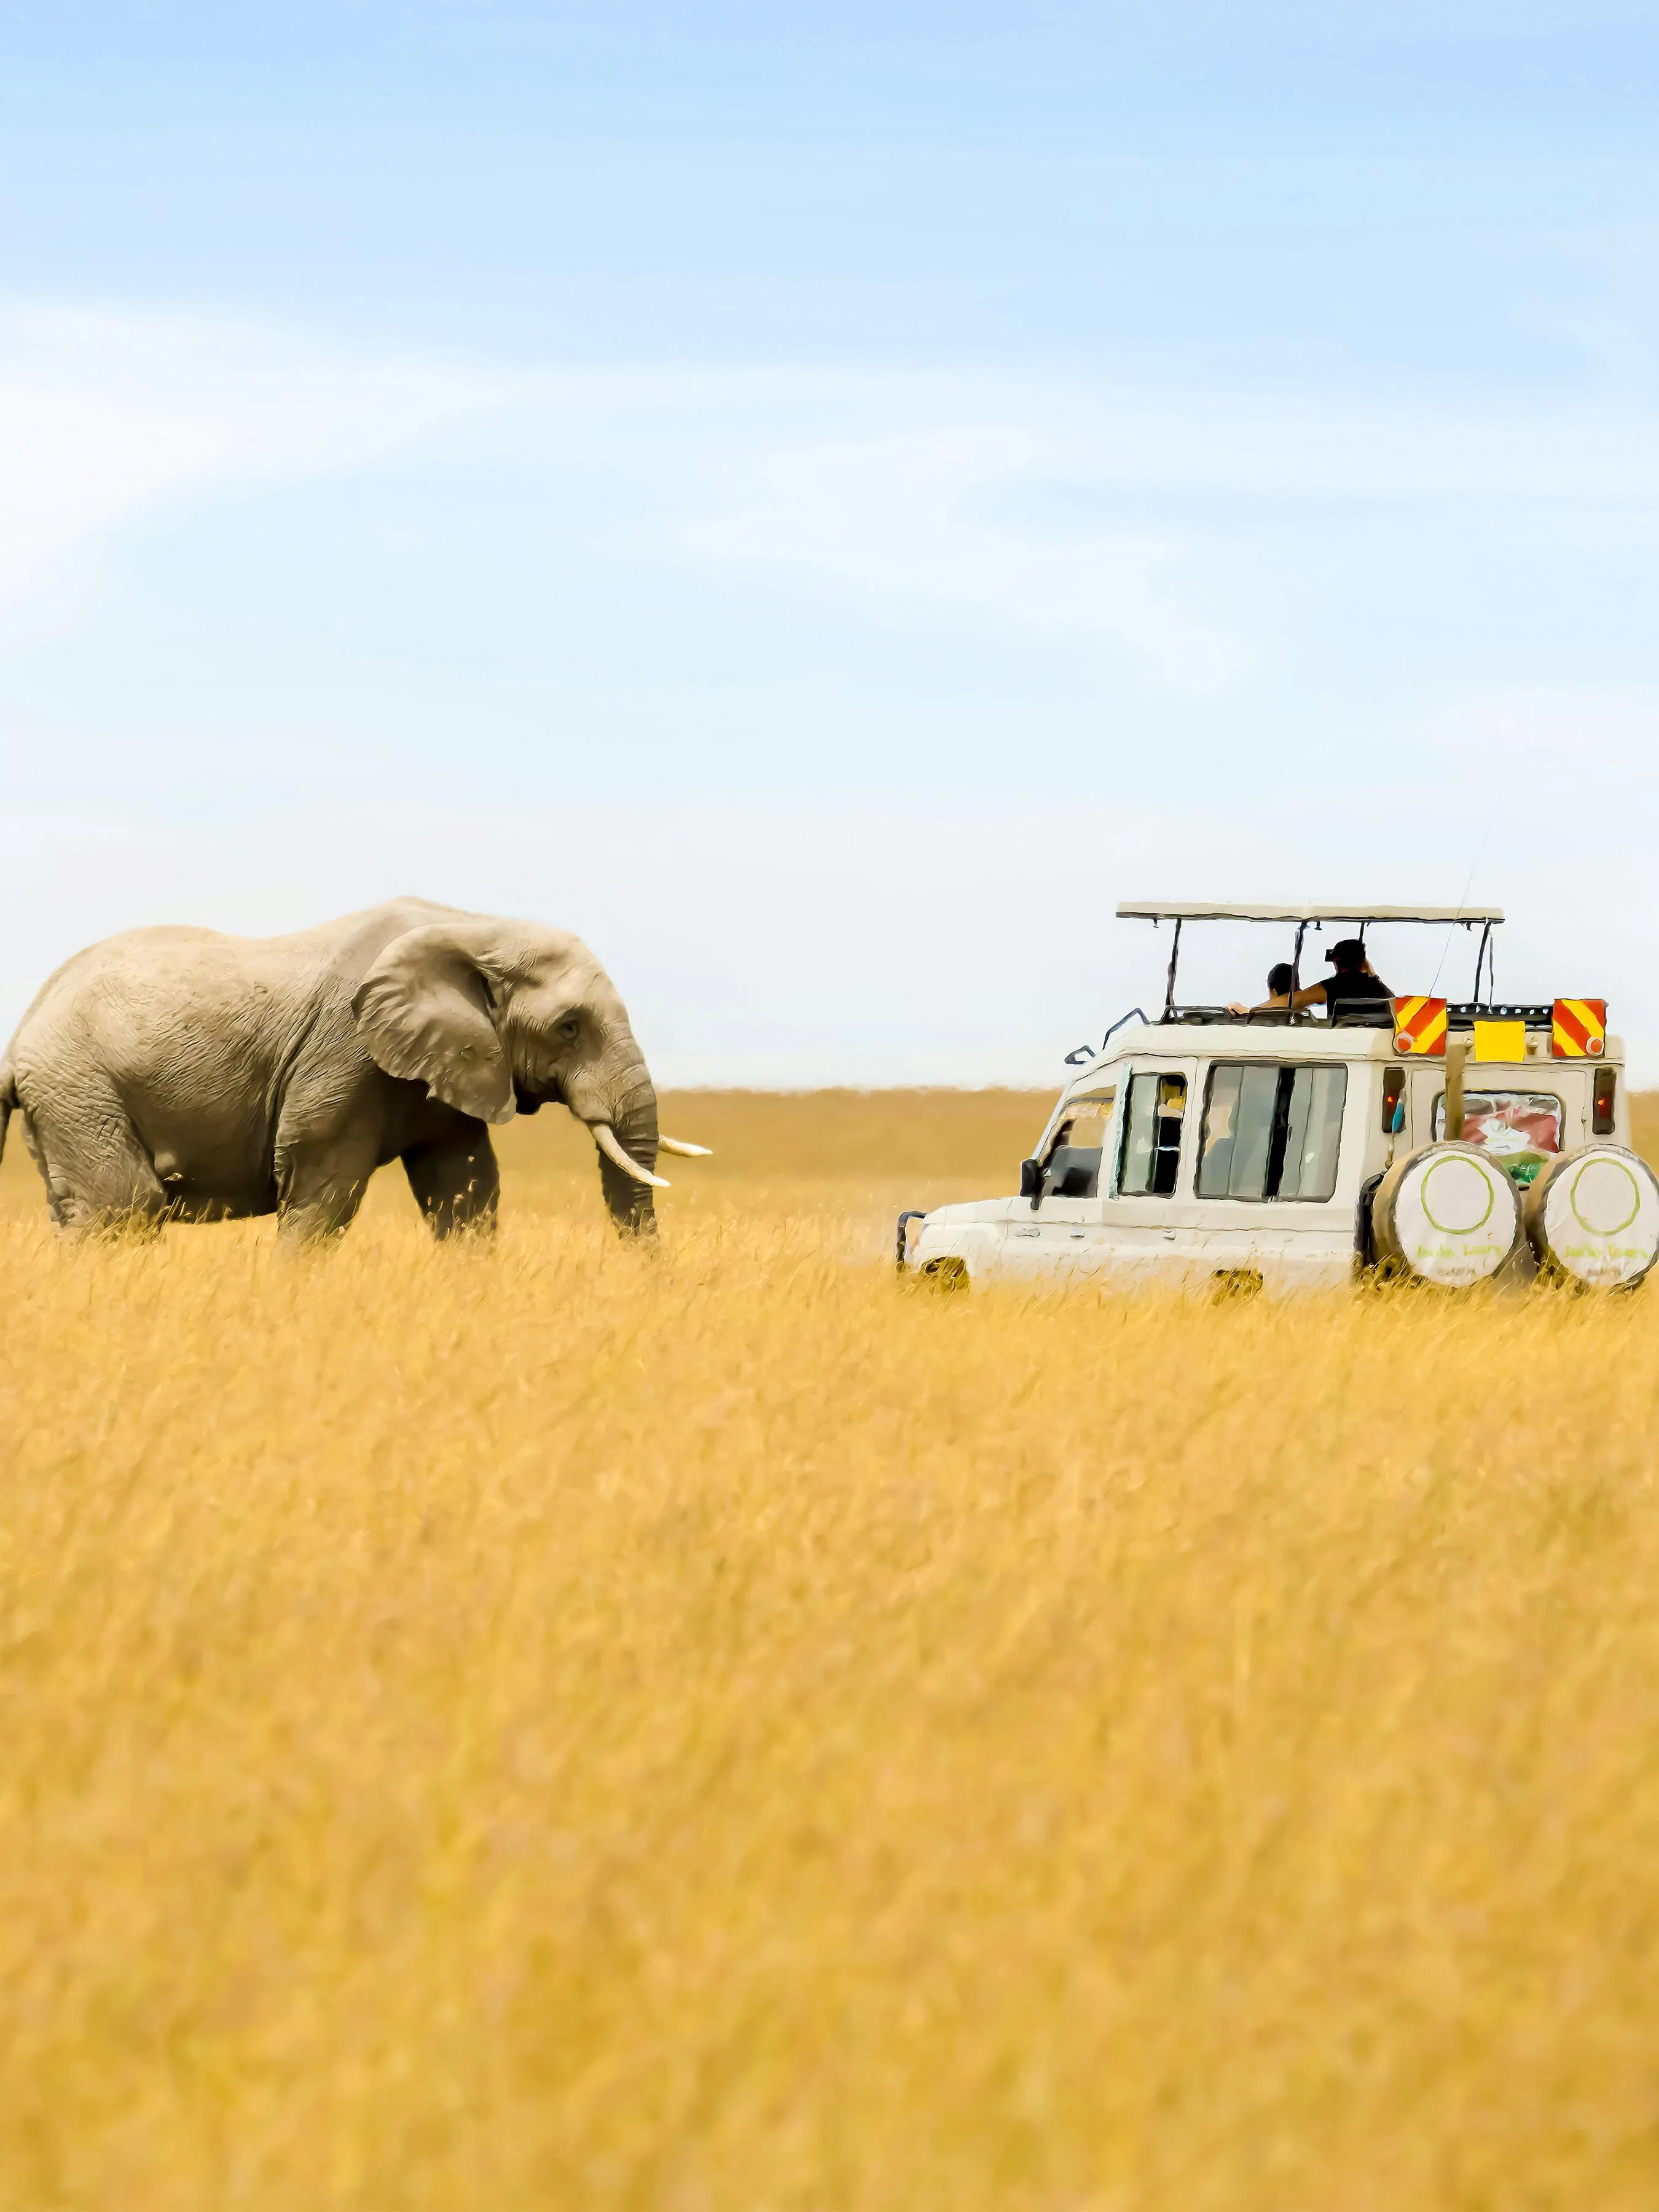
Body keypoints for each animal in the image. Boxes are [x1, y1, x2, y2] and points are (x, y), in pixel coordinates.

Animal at [0, 896, 707, 1241]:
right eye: (569, 1027)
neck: (476, 928)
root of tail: (19, 1040)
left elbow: (467, 1188)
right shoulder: (344, 1053)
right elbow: (323, 1190)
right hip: (80, 1087)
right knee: (124, 1207)